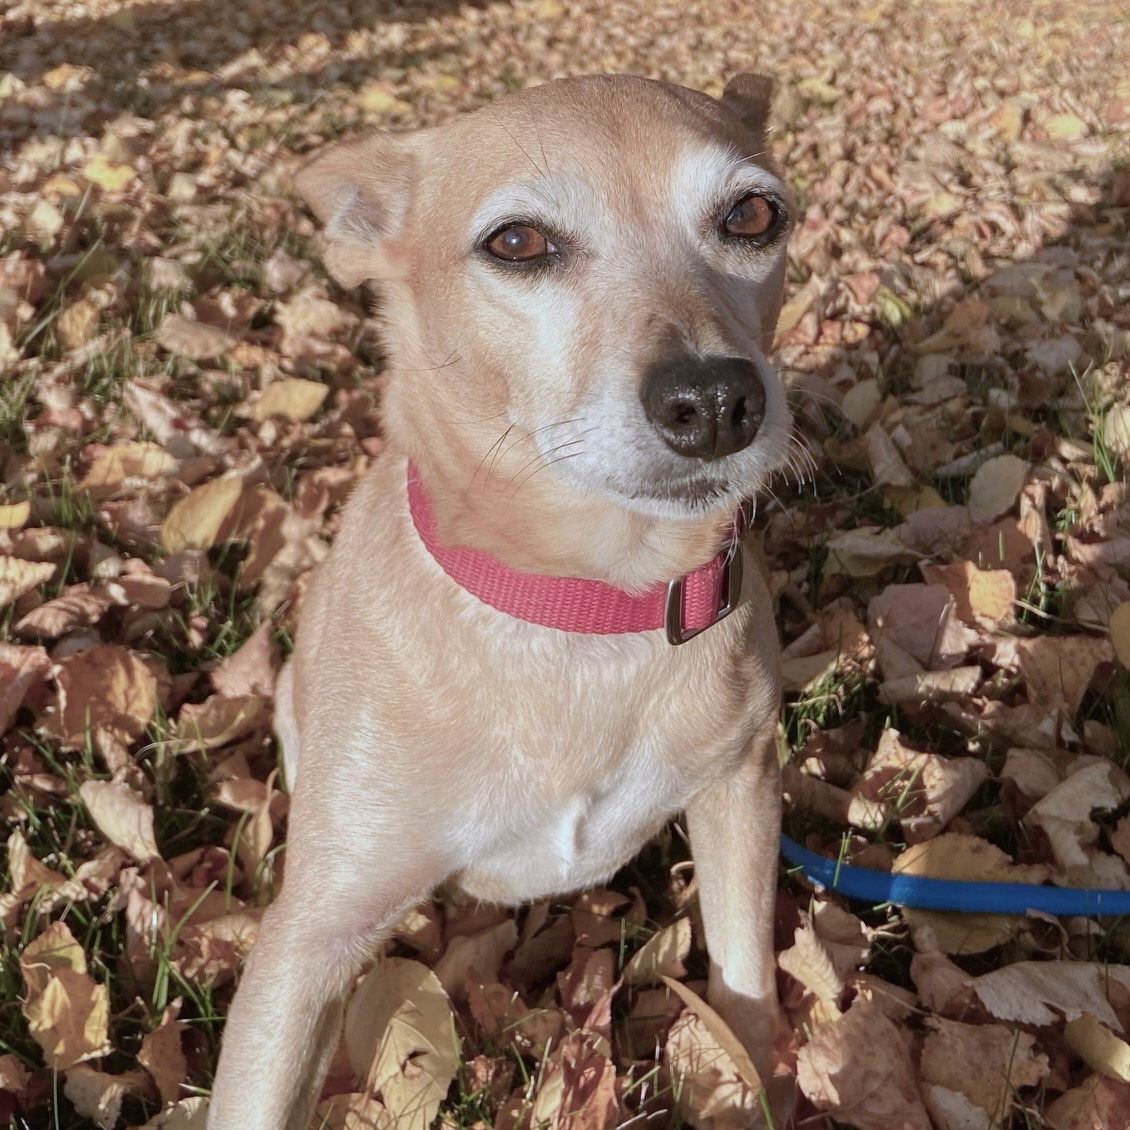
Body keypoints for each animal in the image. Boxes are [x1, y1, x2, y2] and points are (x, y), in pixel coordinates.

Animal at [212, 72, 795, 1130]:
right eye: (517, 243)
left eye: (753, 214)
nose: (716, 403)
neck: (580, 605)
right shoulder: (305, 945)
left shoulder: (743, 791)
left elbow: (744, 984)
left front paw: (757, 1082)